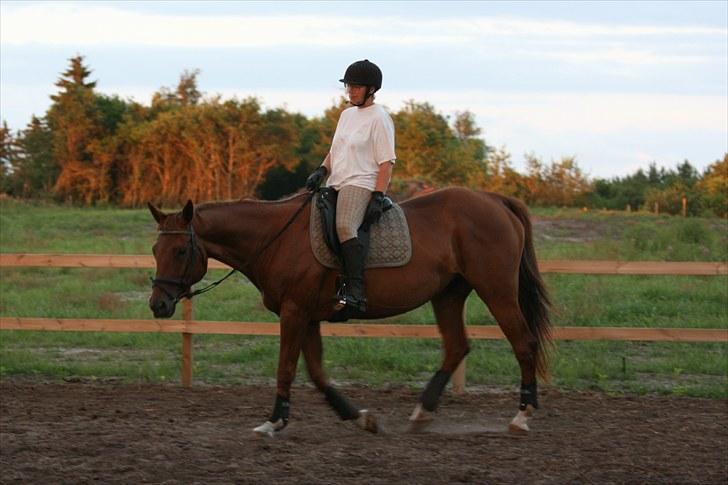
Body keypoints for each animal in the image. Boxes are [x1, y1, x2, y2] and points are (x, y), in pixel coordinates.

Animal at [151, 186, 556, 434]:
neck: (276, 238)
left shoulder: (295, 312)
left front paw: (274, 422)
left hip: (497, 291)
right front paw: (360, 418)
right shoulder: (307, 315)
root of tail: (495, 200)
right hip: (448, 295)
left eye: (181, 251)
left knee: (523, 343)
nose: (158, 304)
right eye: (156, 250)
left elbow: (286, 368)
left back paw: (522, 415)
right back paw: (422, 412)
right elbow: (316, 373)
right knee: (457, 346)